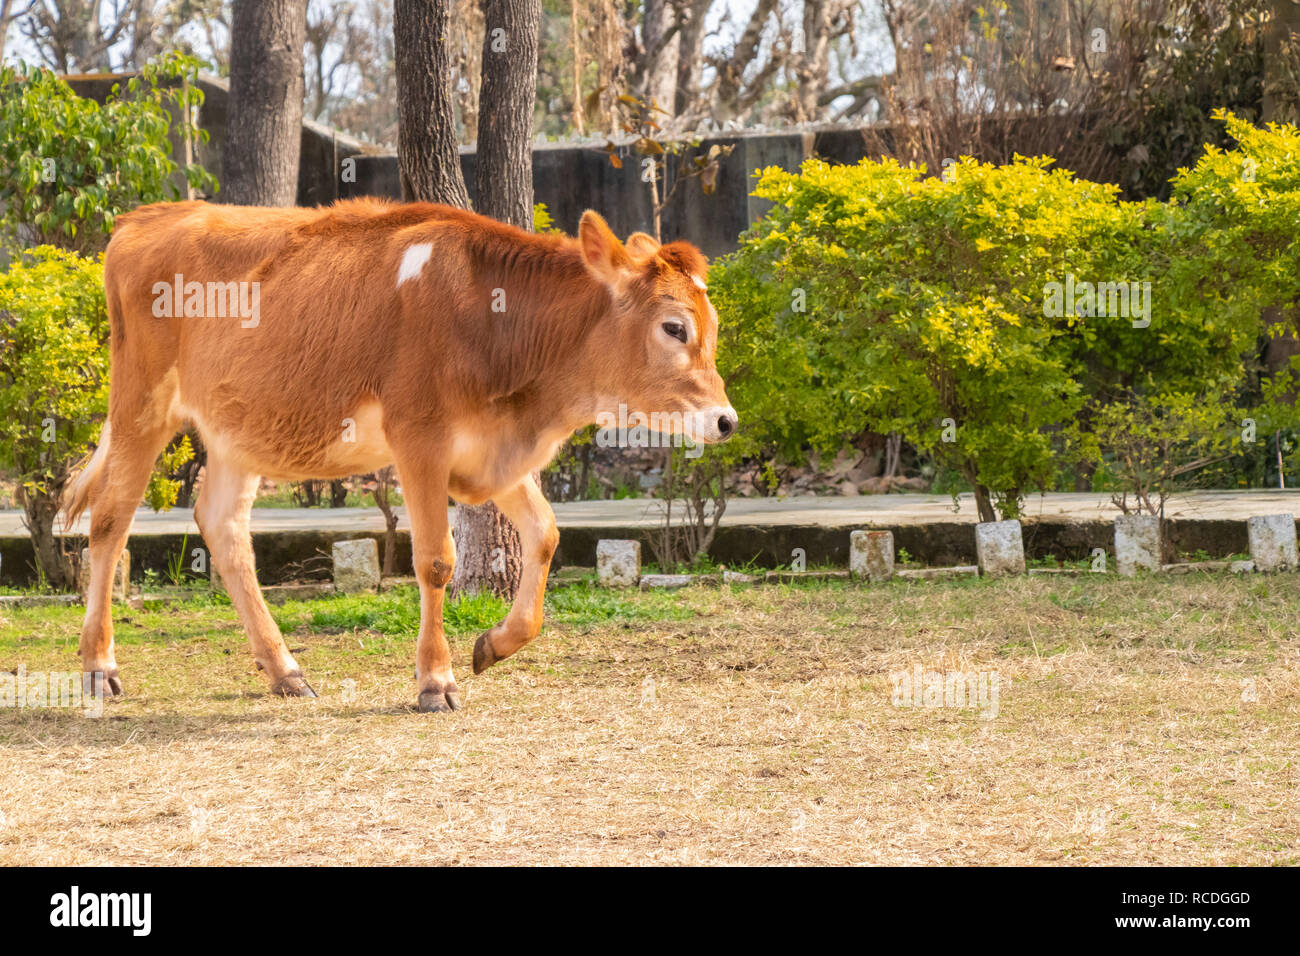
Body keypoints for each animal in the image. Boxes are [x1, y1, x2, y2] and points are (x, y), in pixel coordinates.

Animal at [60, 199, 736, 712]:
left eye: (712, 327)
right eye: (674, 327)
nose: (726, 420)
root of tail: (147, 216)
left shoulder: (489, 449)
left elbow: (544, 534)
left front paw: (494, 643)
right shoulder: (420, 436)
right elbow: (436, 559)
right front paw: (435, 681)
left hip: (238, 428)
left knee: (223, 529)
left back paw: (284, 670)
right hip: (142, 401)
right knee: (110, 520)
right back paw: (99, 665)